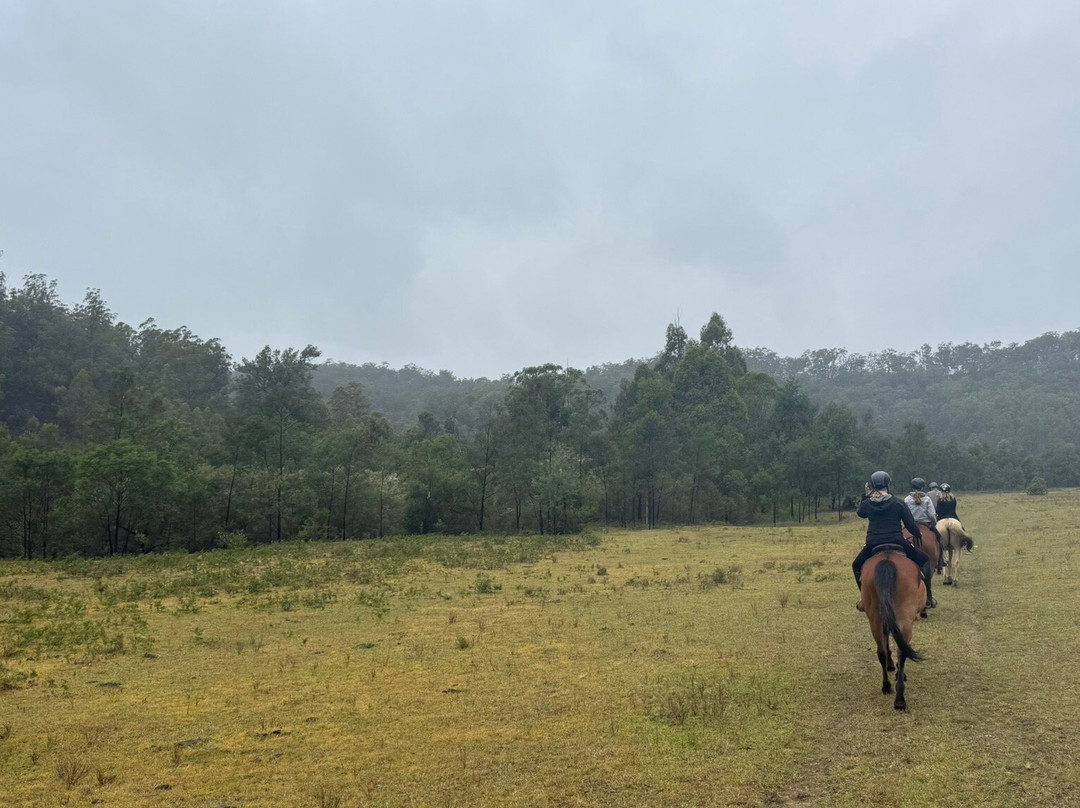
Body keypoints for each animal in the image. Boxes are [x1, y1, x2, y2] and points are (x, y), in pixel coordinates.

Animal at [859, 548, 926, 710]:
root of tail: (887, 560)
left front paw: (890, 665)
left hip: (875, 616)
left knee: (881, 651)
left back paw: (886, 686)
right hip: (905, 617)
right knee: (902, 651)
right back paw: (900, 698)